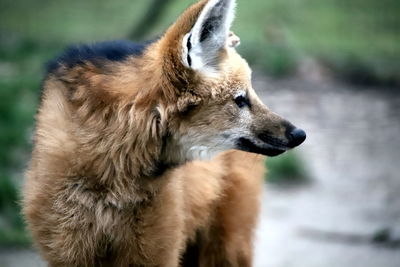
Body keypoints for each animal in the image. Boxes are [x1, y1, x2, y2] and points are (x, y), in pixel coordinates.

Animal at [23, 0, 304, 267]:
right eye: (240, 100)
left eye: (249, 95)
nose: (299, 134)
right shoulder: (69, 250)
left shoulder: (155, 251)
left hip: (226, 245)